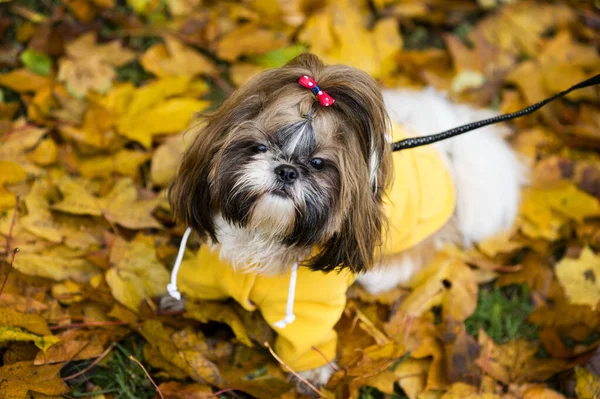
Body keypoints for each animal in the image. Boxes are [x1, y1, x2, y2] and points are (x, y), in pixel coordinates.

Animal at [166, 53, 524, 388]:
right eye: (259, 147)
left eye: (318, 163)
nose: (287, 170)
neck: (265, 233)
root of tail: (448, 157)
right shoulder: (215, 266)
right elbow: (195, 280)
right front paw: (174, 298)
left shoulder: (311, 303)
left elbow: (309, 339)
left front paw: (310, 373)